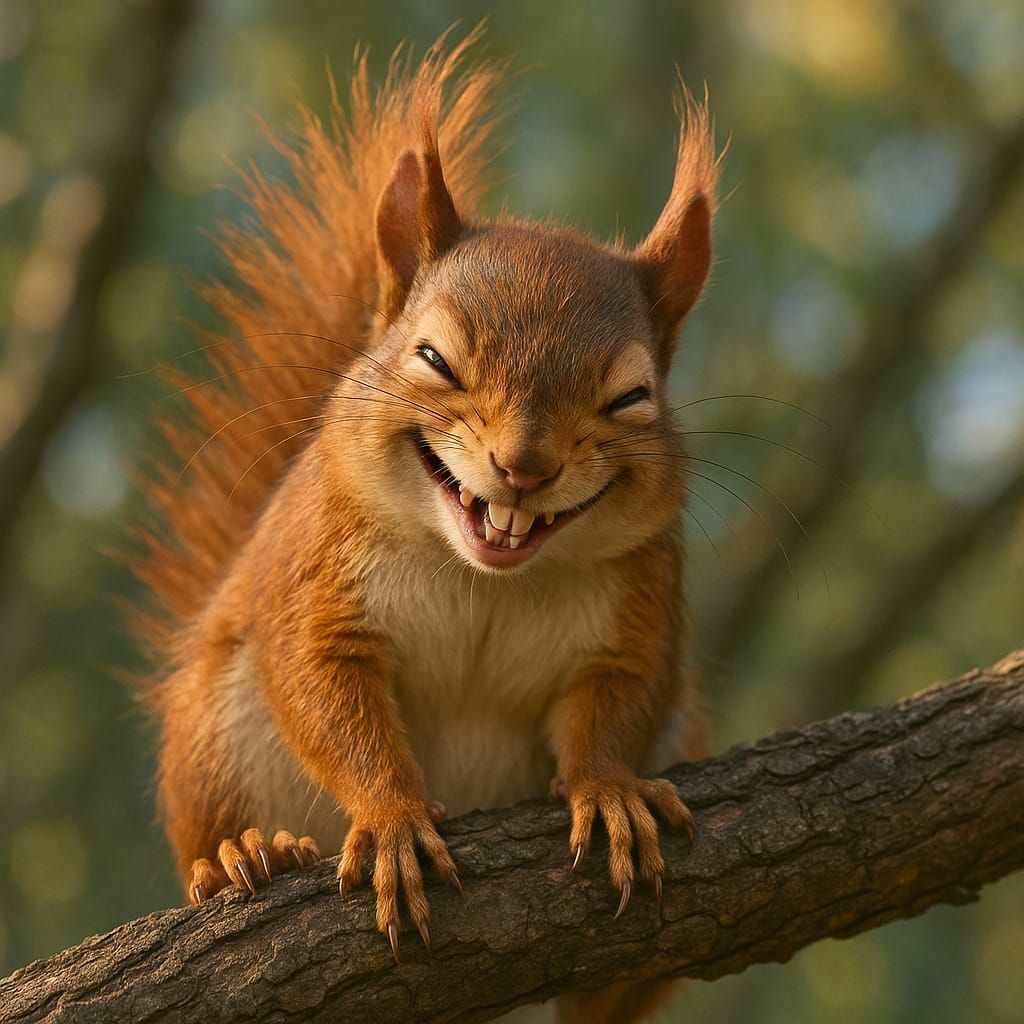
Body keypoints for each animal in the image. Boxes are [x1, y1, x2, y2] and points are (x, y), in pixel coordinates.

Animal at [133, 30, 718, 1024]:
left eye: (632, 397)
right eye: (436, 358)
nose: (525, 466)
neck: (485, 575)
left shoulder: (643, 609)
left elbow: (618, 703)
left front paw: (607, 791)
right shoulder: (318, 580)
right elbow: (327, 696)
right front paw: (393, 816)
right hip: (213, 736)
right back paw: (247, 855)